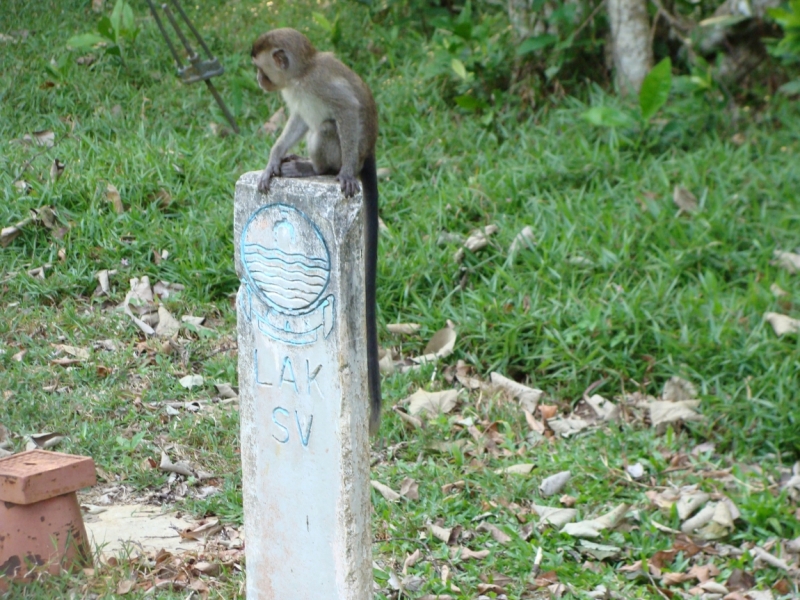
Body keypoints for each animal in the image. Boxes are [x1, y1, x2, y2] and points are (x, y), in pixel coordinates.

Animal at [253, 28, 384, 434]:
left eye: (260, 67)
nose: (258, 79)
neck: (300, 76)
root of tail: (370, 152)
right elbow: (296, 120)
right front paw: (272, 160)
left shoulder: (319, 84)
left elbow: (348, 110)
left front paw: (344, 176)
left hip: (347, 149)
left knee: (328, 126)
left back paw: (319, 170)